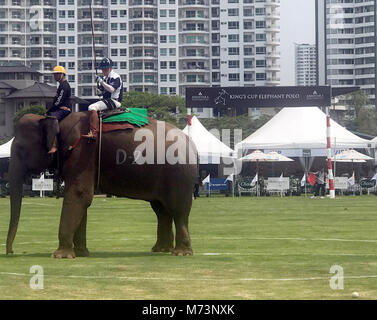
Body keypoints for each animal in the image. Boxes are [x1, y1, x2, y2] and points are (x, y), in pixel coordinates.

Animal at [5, 112, 197, 258]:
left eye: (21, 149)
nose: (11, 252)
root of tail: (190, 142)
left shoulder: (82, 151)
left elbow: (79, 195)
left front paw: (60, 256)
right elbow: (81, 200)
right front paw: (82, 254)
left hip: (179, 173)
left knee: (178, 210)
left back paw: (181, 253)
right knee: (161, 210)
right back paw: (160, 250)